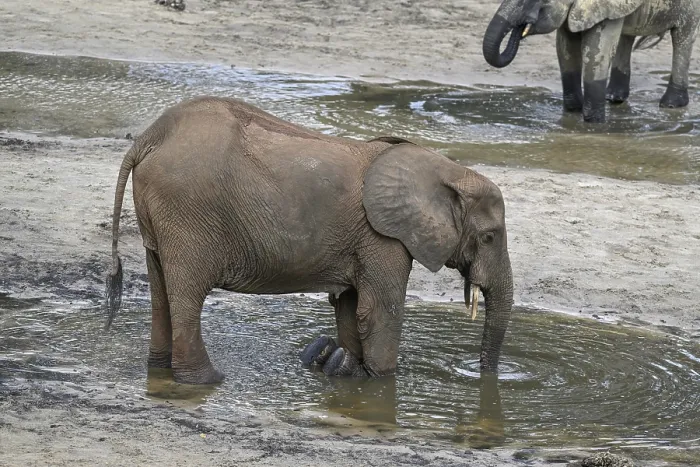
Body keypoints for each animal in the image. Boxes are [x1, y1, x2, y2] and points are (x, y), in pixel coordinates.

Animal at [105, 96, 513, 385]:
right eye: (490, 237)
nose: (487, 375)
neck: (447, 170)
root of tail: (149, 138)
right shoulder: (385, 237)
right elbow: (379, 310)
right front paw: (374, 382)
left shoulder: (367, 239)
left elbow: (351, 307)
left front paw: (341, 364)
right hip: (187, 212)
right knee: (187, 295)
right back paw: (207, 381)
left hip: (161, 215)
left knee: (161, 291)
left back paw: (160, 373)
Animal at [482, 0, 700, 122]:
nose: (522, 27)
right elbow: (565, 47)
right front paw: (573, 111)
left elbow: (597, 49)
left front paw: (593, 123)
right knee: (626, 36)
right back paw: (613, 97)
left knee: (683, 37)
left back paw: (671, 105)